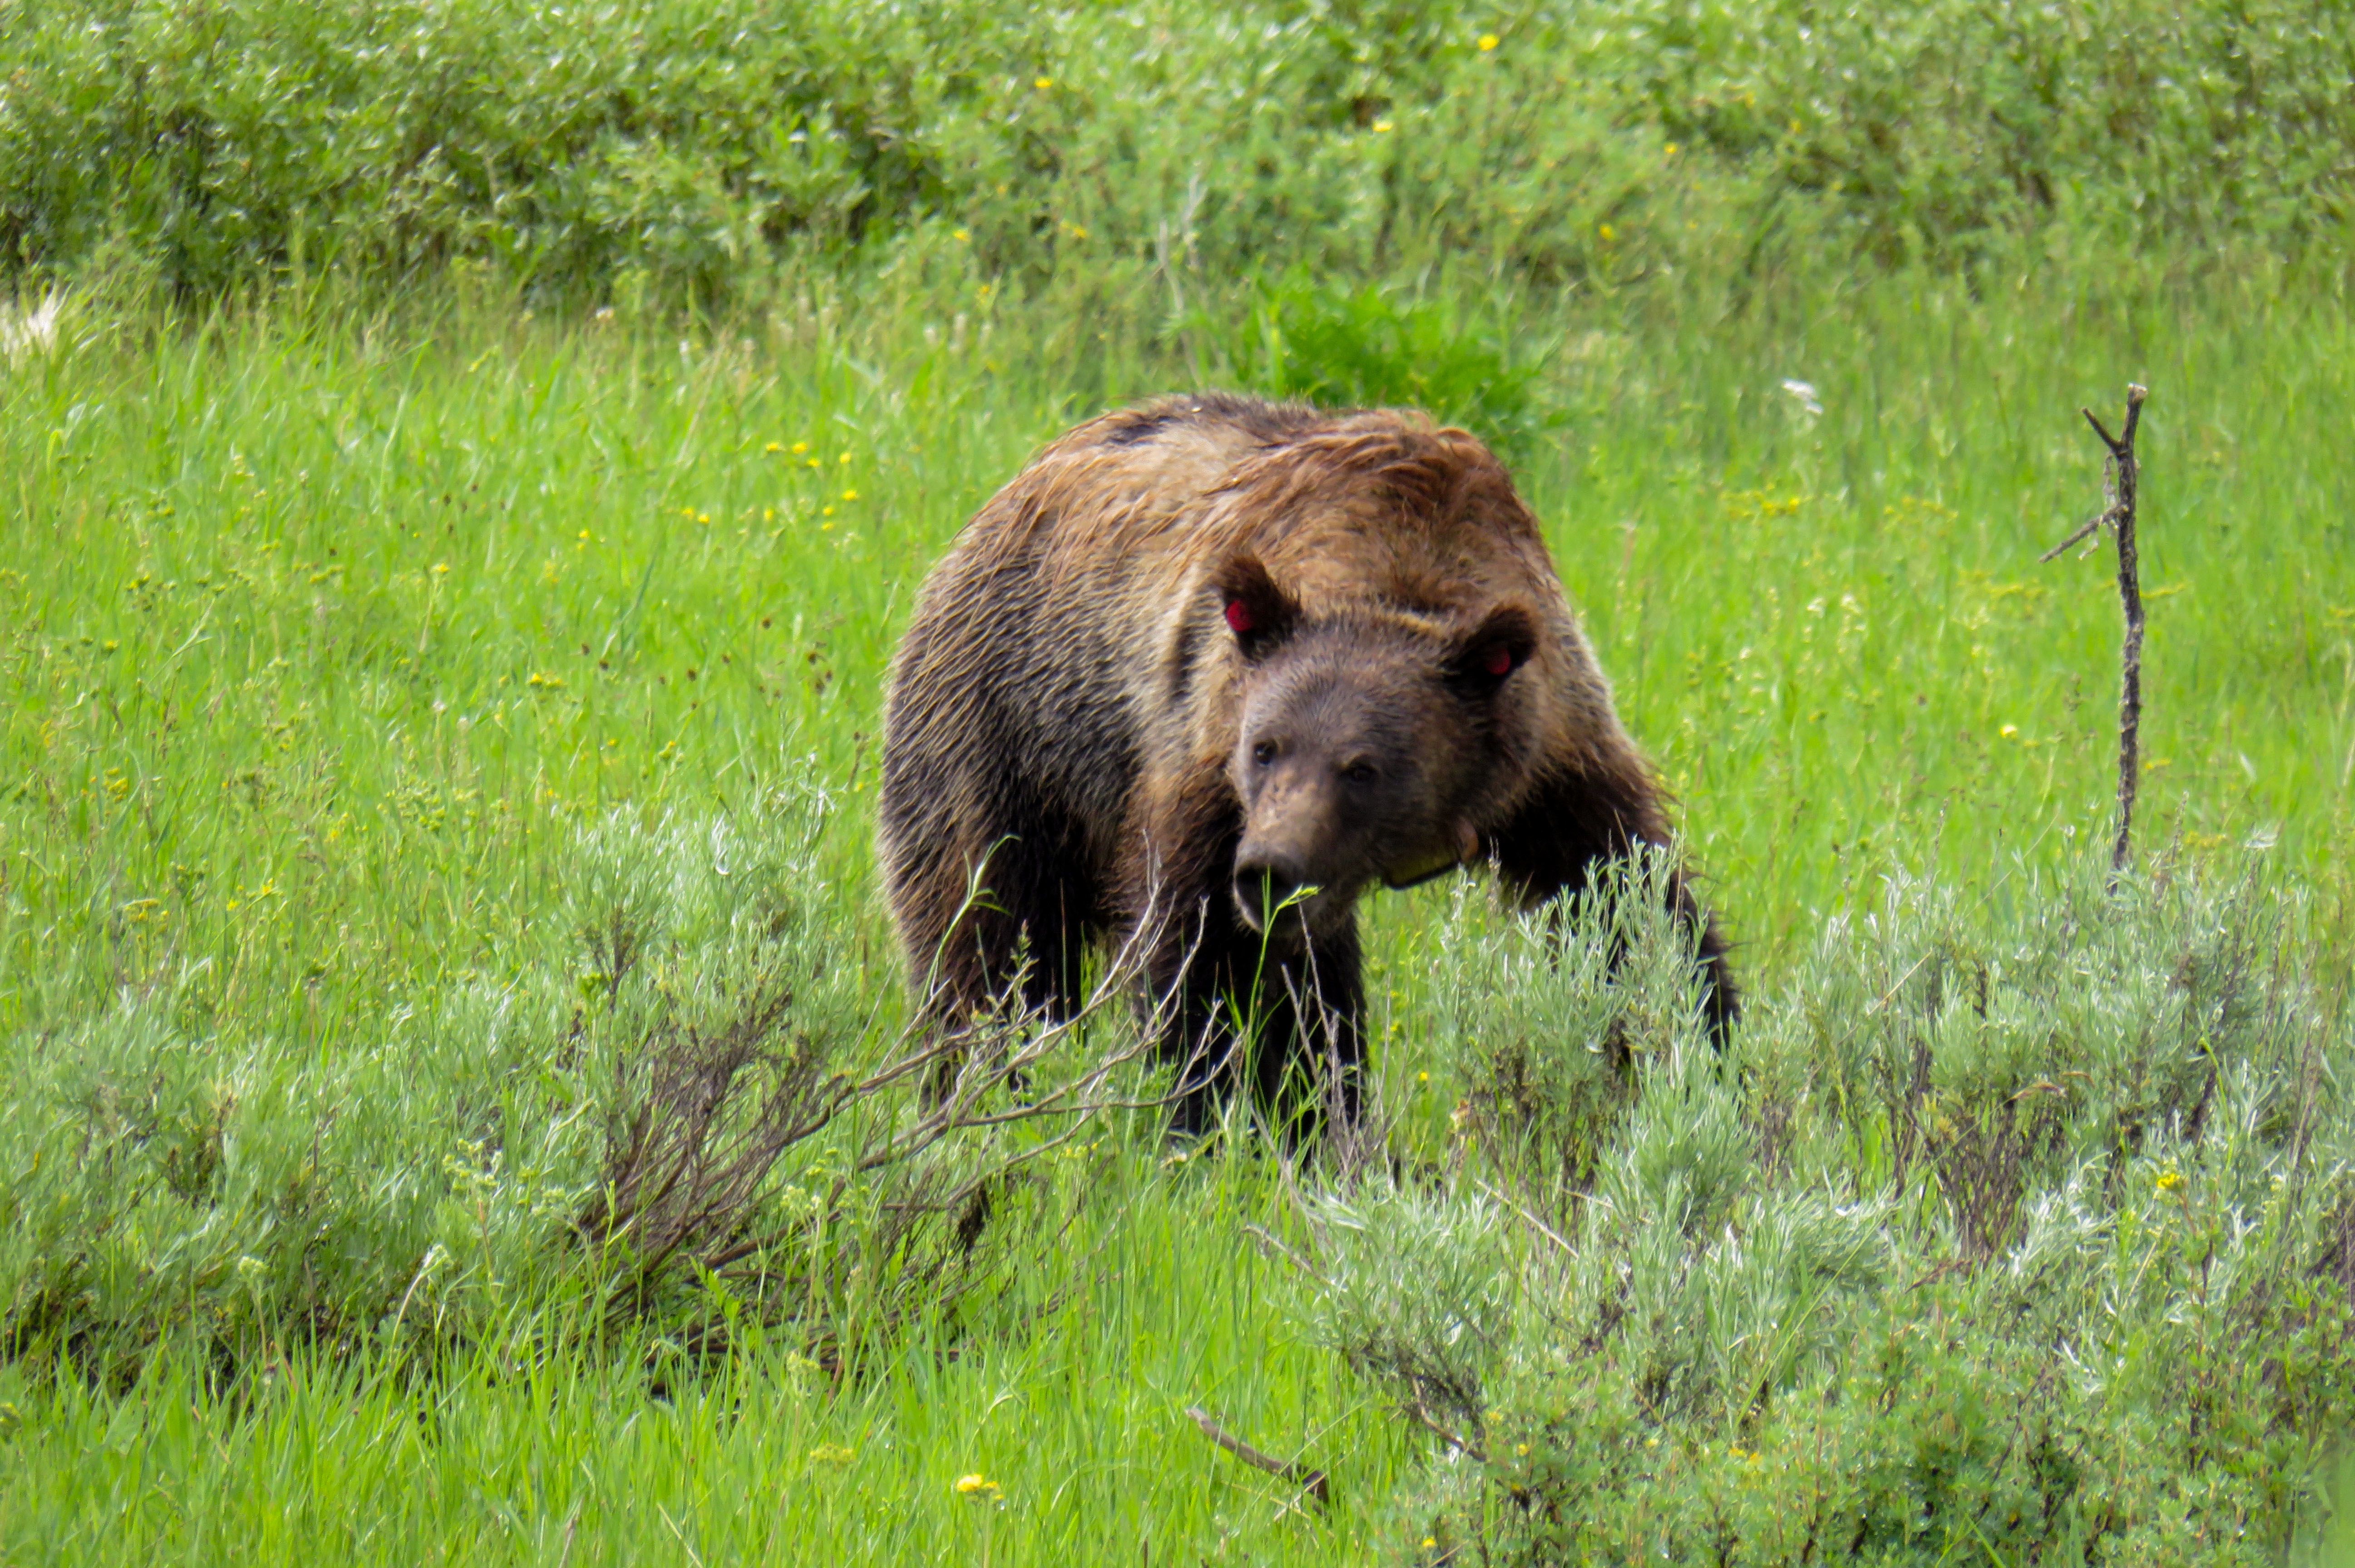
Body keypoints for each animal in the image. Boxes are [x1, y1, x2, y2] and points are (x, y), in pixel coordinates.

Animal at [880, 383, 1733, 1130]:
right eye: (1265, 749)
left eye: (1363, 767)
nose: (1270, 870)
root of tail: (1002, 499)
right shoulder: (1202, 759)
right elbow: (1214, 970)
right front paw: (1224, 1115)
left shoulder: (1555, 760)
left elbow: (1633, 915)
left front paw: (1699, 1068)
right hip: (1005, 728)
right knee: (990, 939)